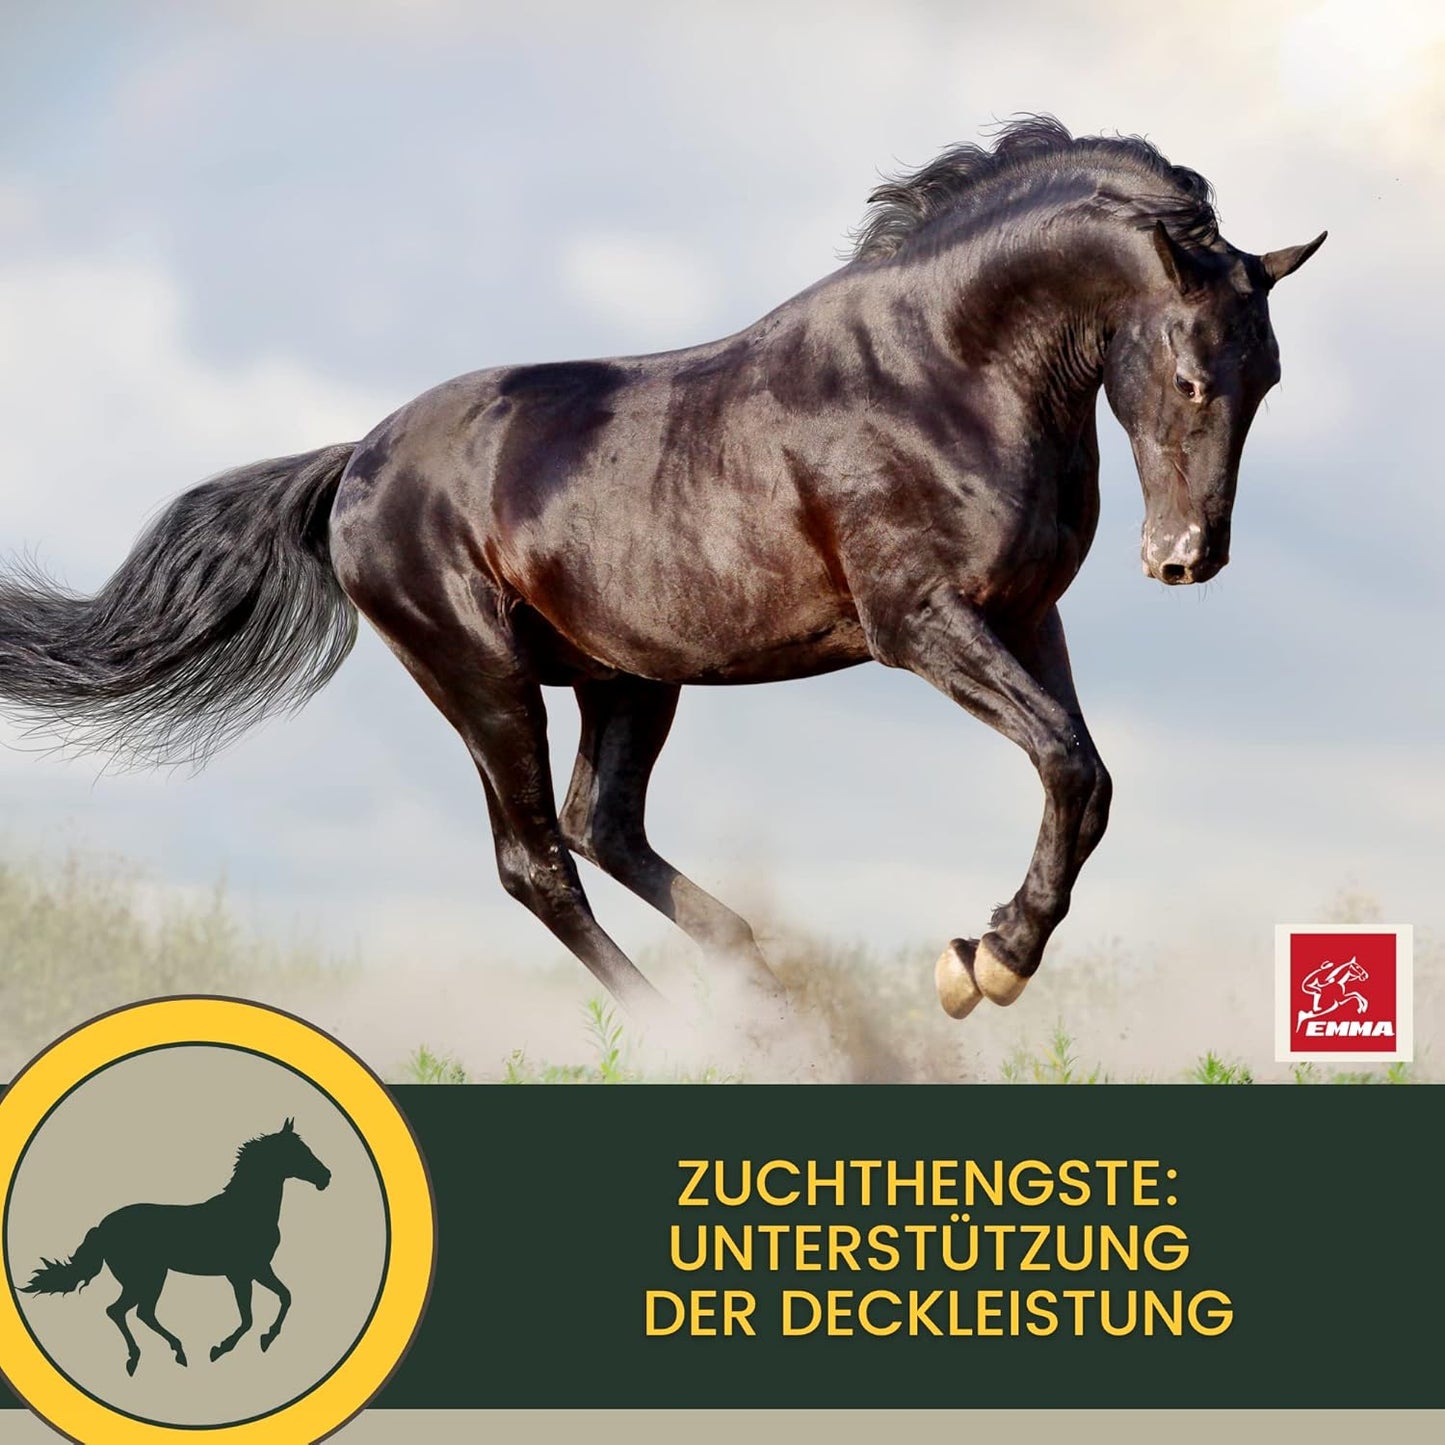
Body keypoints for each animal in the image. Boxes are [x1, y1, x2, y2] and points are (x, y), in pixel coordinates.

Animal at [0, 117, 1324, 1021]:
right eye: (1192, 376)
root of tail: (356, 463)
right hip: (480, 675)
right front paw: (983, 965)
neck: (941, 370)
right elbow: (1067, 762)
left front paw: (977, 959)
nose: (1182, 559)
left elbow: (1079, 778)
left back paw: (780, 992)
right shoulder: (917, 623)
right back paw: (694, 1028)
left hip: (625, 675)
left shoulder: (1023, 615)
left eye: (1266, 378)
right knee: (538, 858)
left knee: (603, 823)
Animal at [19, 1118, 330, 1376]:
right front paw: (219, 1349)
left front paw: (266, 1339)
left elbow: (285, 1296)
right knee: (122, 1311)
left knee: (137, 1312)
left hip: (150, 1277)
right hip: (145, 1277)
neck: (246, 1210)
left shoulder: (258, 1269)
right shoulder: (242, 1274)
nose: (326, 1176)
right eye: (297, 1151)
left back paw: (172, 1352)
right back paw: (145, 1357)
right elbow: (248, 1319)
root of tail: (103, 1227)